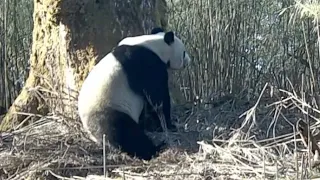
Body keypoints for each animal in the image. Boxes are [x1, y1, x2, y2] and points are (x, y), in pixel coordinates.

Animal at [78, 27, 191, 160]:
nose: (188, 60)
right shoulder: (146, 64)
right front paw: (168, 124)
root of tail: (90, 133)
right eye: (183, 52)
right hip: (109, 109)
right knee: (125, 134)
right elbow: (157, 97)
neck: (152, 45)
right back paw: (155, 149)